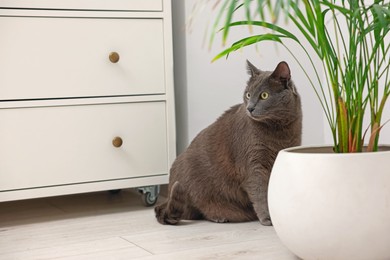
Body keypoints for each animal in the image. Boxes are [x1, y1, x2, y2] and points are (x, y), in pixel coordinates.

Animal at [155, 61, 302, 225]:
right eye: (248, 94)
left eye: (264, 95)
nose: (250, 107)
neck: (279, 130)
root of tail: (167, 196)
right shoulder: (254, 164)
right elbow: (260, 192)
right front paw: (268, 218)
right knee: (195, 209)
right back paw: (218, 217)